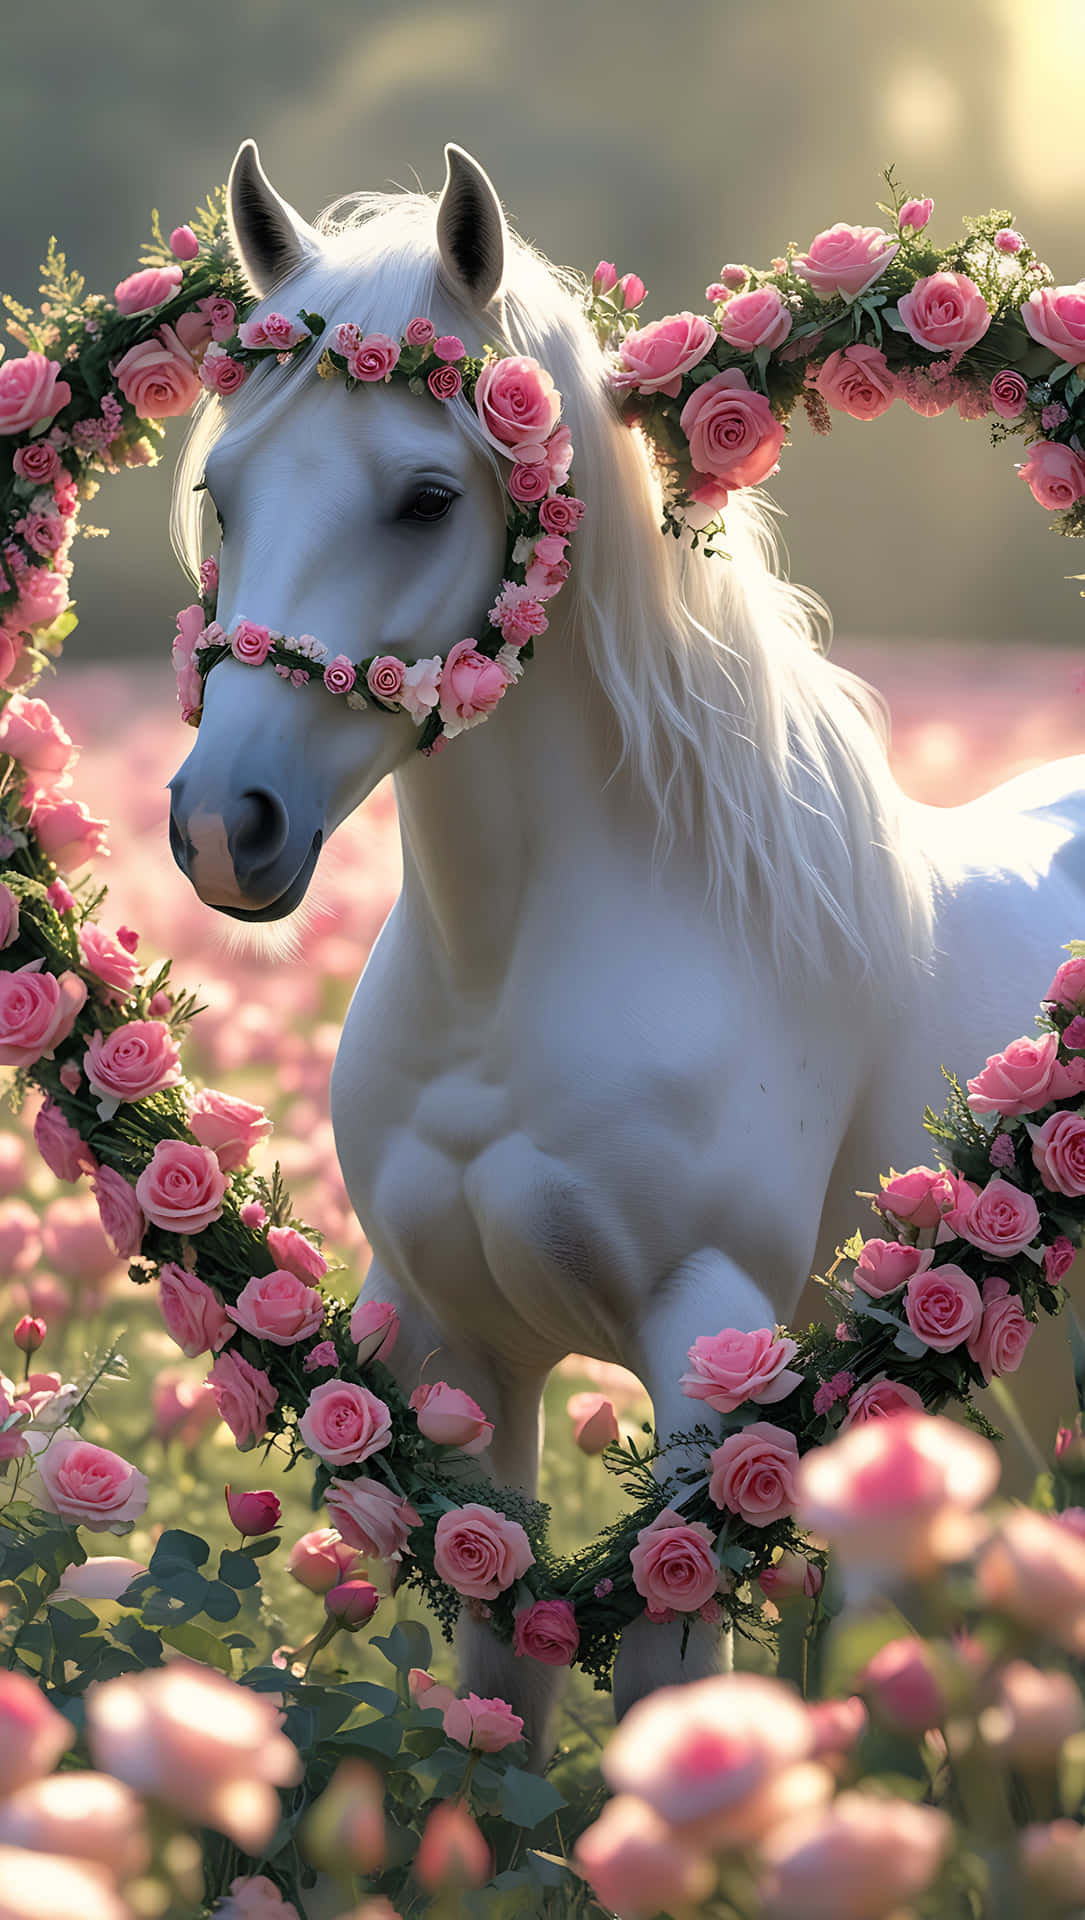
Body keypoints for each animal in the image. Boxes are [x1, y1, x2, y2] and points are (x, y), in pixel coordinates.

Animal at [166, 139, 1085, 1752]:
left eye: (425, 496)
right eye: (222, 495)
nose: (228, 824)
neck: (517, 966)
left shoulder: (710, 1353)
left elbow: (667, 1679)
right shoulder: (456, 1359)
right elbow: (500, 1703)